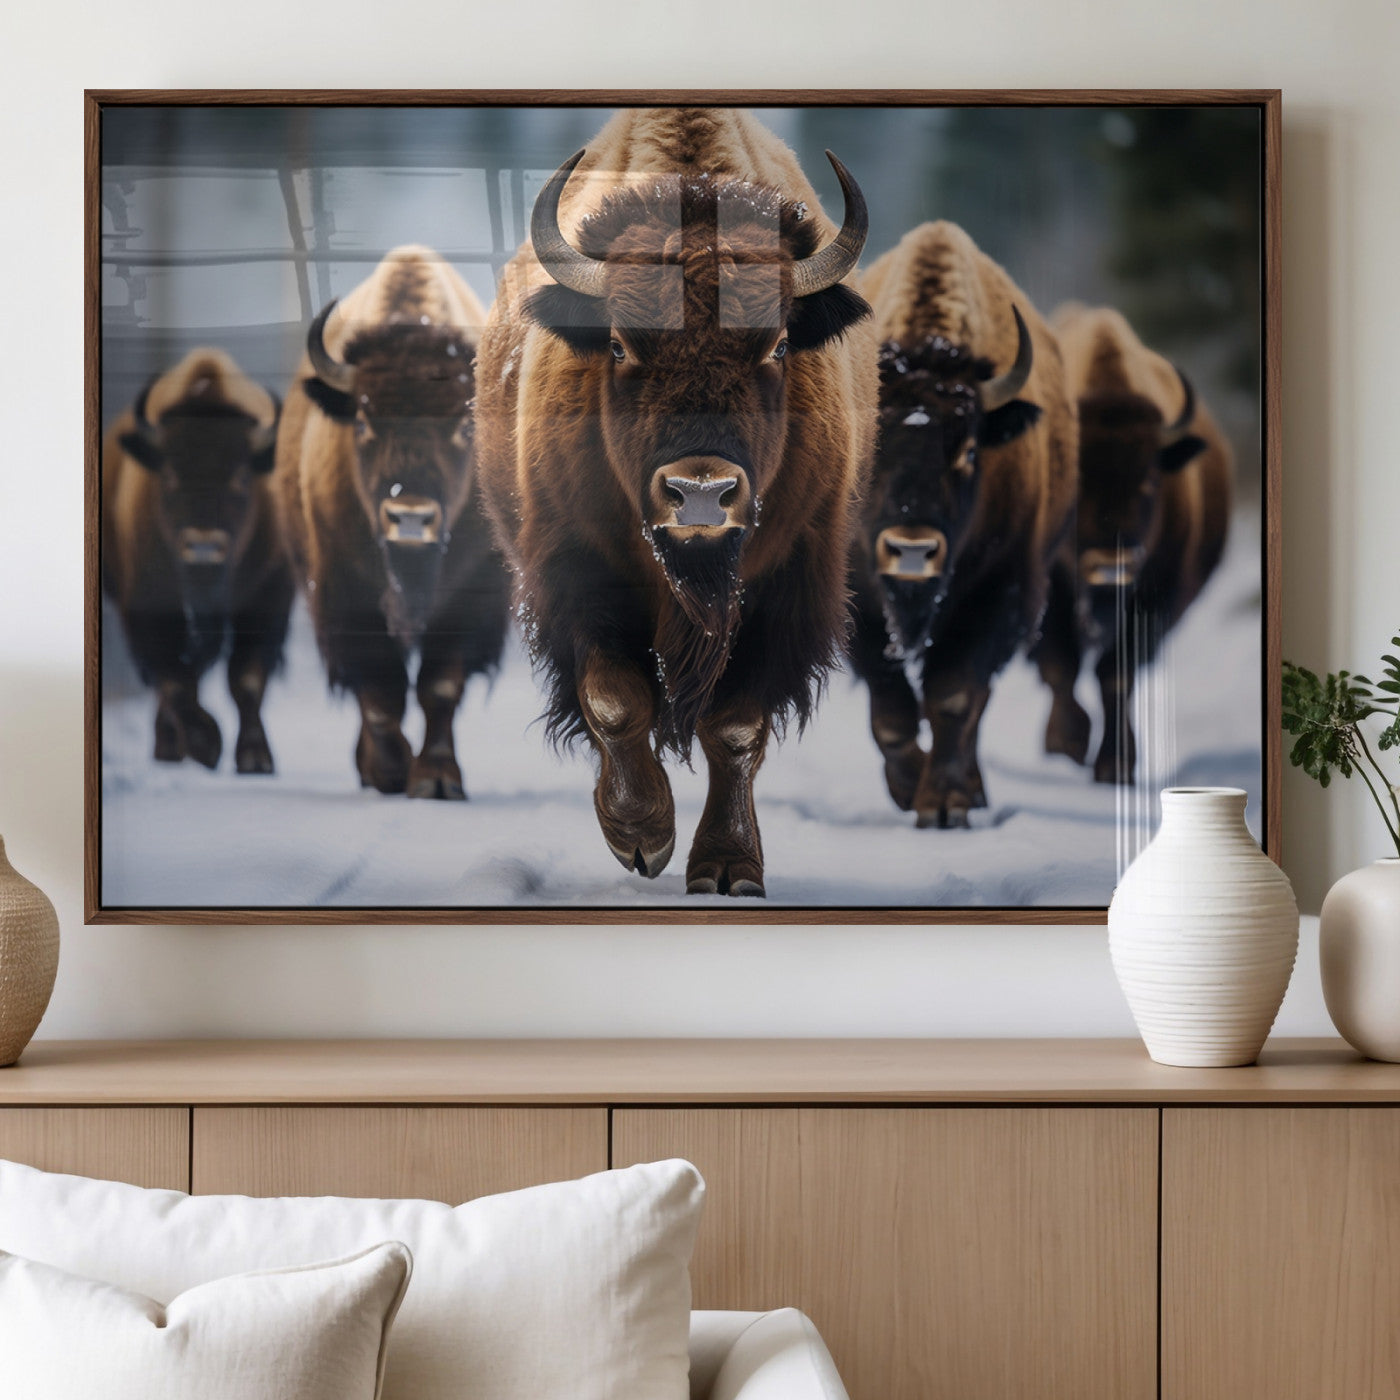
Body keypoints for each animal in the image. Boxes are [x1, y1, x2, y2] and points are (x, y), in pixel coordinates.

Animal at [102, 348, 291, 772]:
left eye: (241, 476)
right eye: (170, 474)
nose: (203, 547)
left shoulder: (266, 599)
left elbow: (246, 679)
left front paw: (255, 758)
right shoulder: (147, 608)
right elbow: (175, 680)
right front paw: (206, 744)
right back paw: (170, 747)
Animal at [273, 244, 509, 799]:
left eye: (464, 425)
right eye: (362, 420)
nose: (411, 517)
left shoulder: (469, 597)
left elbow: (439, 686)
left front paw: (437, 779)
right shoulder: (347, 594)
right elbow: (381, 693)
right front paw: (390, 771)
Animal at [475, 108, 878, 896]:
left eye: (778, 345)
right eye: (621, 346)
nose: (700, 493)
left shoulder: (787, 583)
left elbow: (735, 727)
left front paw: (728, 867)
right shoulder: (578, 572)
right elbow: (613, 699)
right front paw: (641, 836)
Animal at [850, 221, 1078, 827]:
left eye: (971, 449)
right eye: (871, 444)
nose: (911, 550)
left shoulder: (998, 592)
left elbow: (953, 698)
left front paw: (945, 804)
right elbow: (891, 712)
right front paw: (909, 788)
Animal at [1032, 303, 1232, 784]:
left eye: (1149, 481)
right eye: (1077, 483)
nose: (1111, 567)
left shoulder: (1152, 600)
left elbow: (1115, 676)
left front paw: (1116, 765)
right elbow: (1060, 665)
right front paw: (1067, 744)